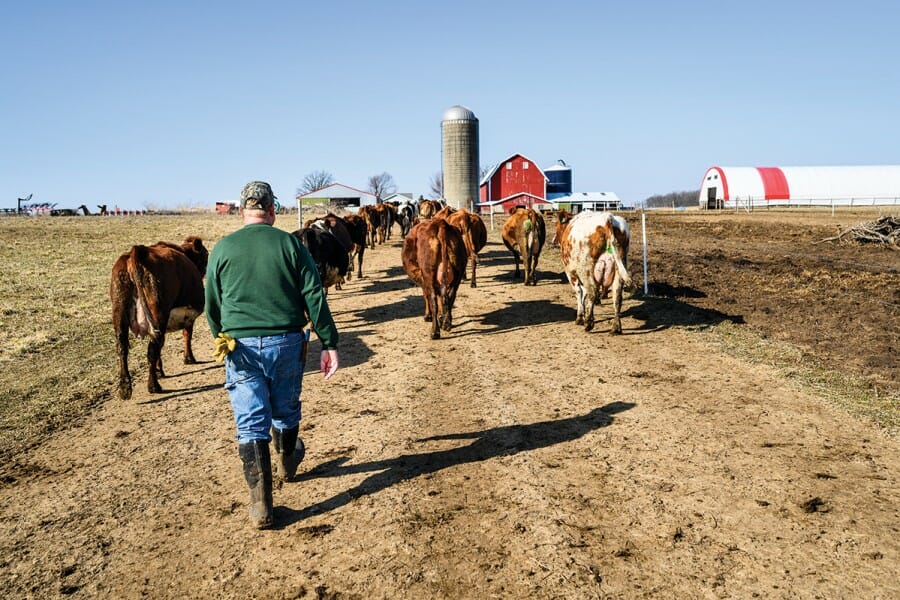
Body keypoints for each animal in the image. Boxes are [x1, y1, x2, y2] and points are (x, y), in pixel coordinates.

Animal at [111, 237, 209, 400]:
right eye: (206, 255)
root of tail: (139, 250)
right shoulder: (188, 316)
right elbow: (187, 335)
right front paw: (189, 358)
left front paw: (159, 370)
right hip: (158, 312)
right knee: (152, 349)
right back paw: (153, 386)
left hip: (120, 309)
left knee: (123, 346)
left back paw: (125, 388)